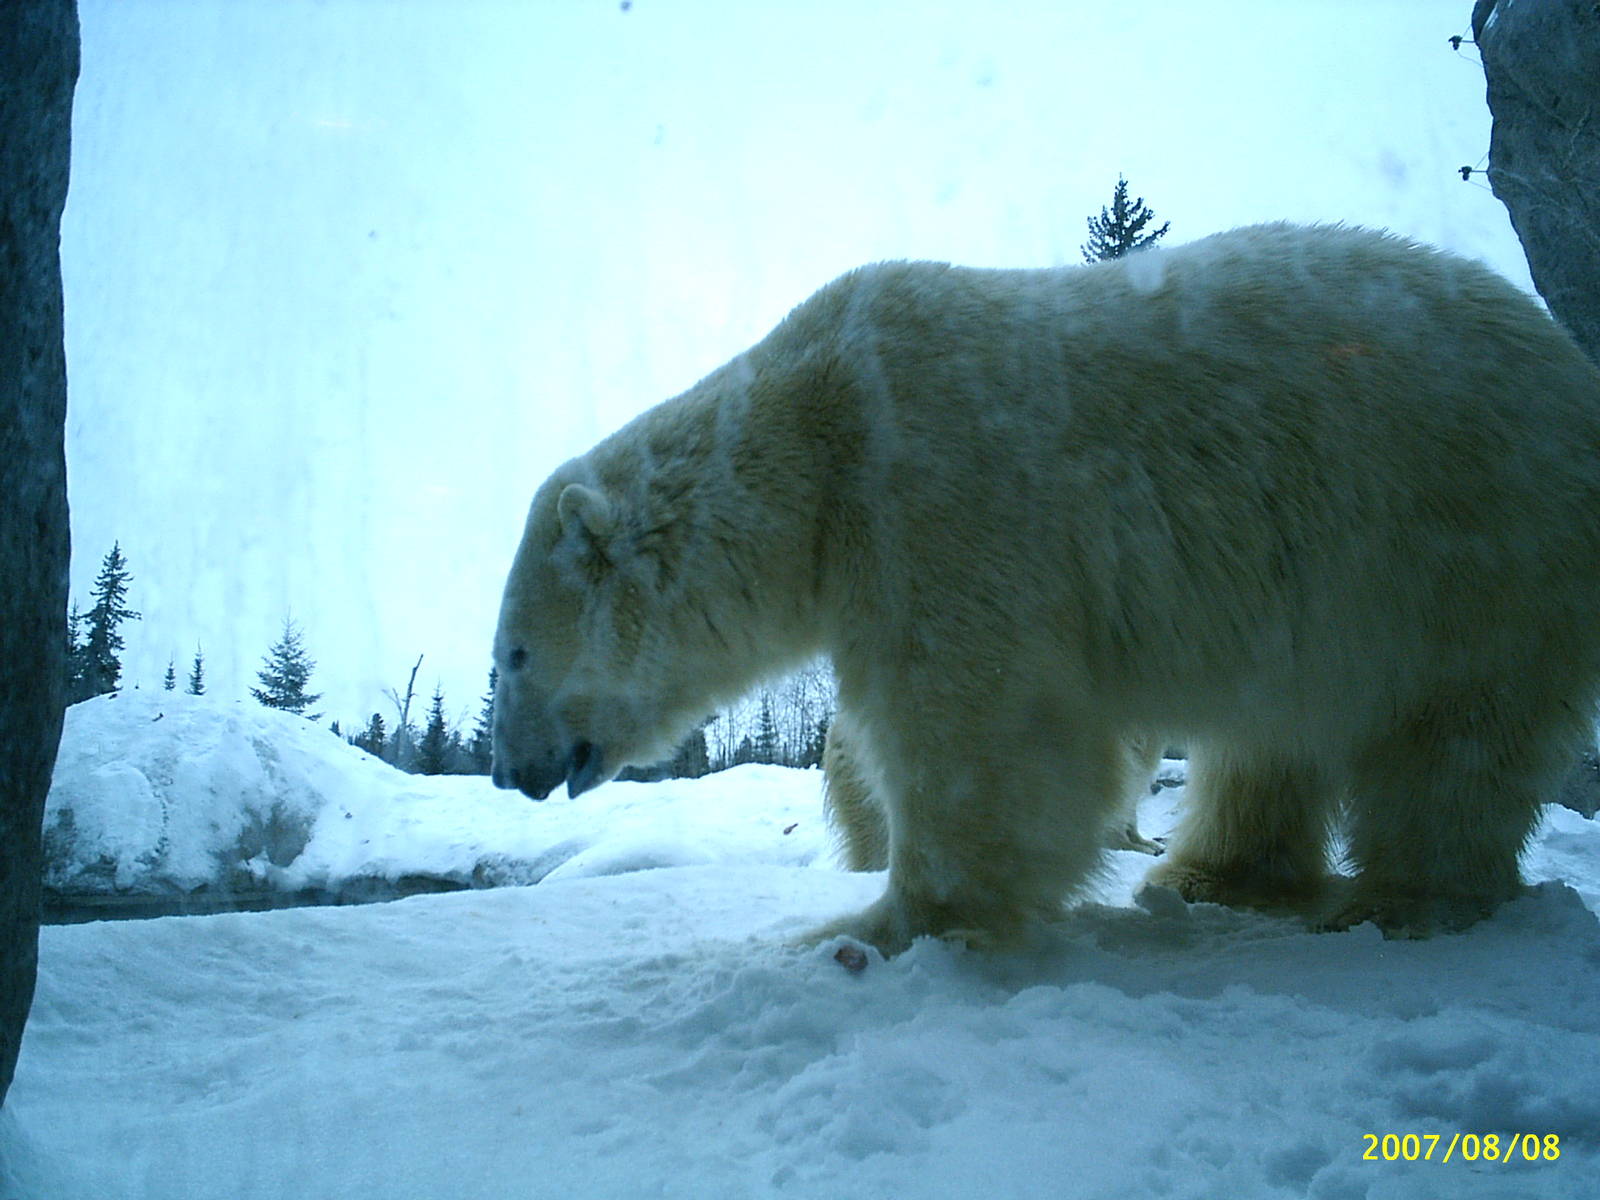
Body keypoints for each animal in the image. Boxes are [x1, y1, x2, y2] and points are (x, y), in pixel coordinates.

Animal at [491, 222, 1600, 955]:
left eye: (511, 653)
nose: (508, 771)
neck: (814, 438)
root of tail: (1571, 371)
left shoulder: (934, 495)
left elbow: (978, 733)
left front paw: (878, 927)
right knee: (1270, 739)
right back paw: (1212, 875)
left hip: (1467, 548)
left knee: (1449, 737)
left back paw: (1400, 900)